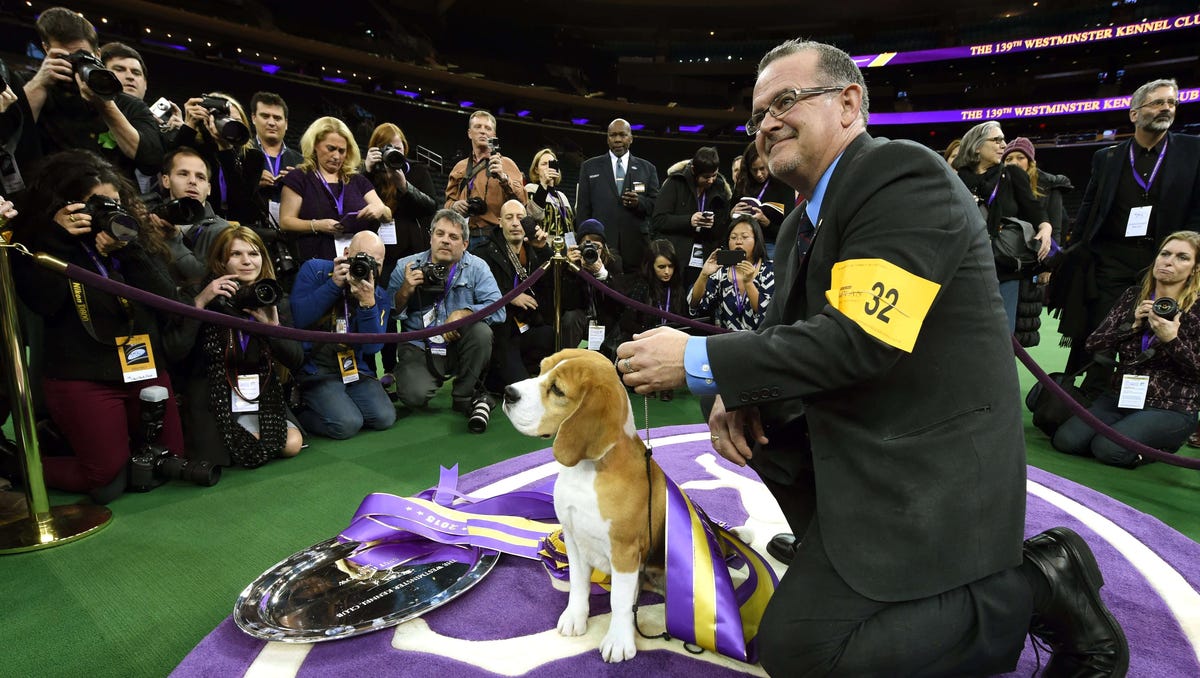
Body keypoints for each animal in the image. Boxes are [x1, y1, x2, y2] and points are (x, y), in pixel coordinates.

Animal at [499, 348, 667, 662]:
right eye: (541, 369)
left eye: (557, 389)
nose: (507, 392)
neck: (586, 472)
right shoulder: (573, 539)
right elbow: (578, 584)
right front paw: (575, 617)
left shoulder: (624, 552)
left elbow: (620, 601)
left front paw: (618, 639)